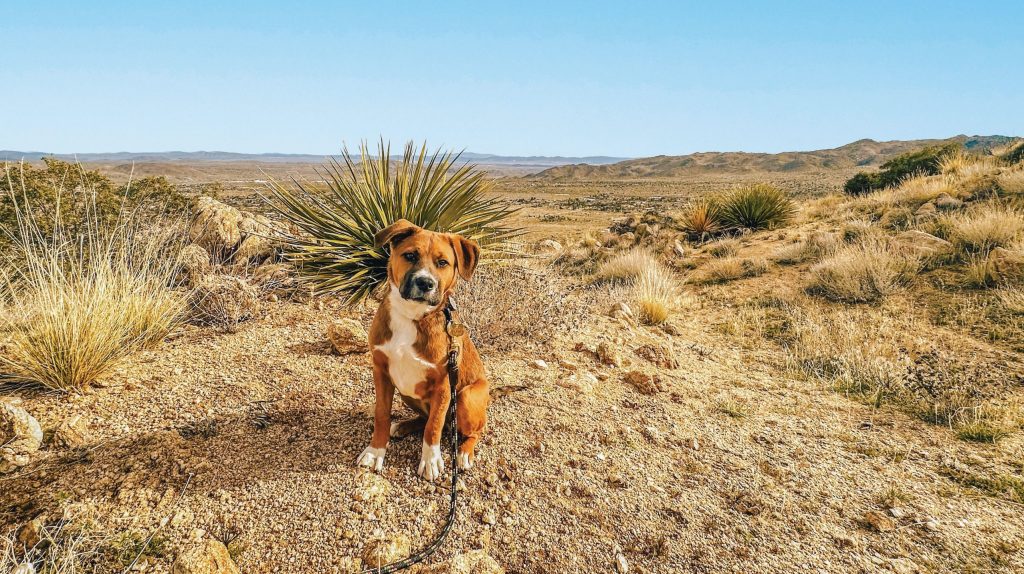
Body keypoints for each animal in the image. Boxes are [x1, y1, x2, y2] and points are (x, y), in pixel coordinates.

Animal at [358, 218, 489, 478]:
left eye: (443, 263)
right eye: (410, 255)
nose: (425, 282)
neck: (412, 316)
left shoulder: (444, 385)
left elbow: (434, 425)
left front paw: (430, 460)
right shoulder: (381, 372)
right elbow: (381, 414)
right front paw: (376, 451)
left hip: (466, 397)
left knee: (472, 431)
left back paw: (464, 453)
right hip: (407, 393)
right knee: (425, 418)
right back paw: (403, 425)